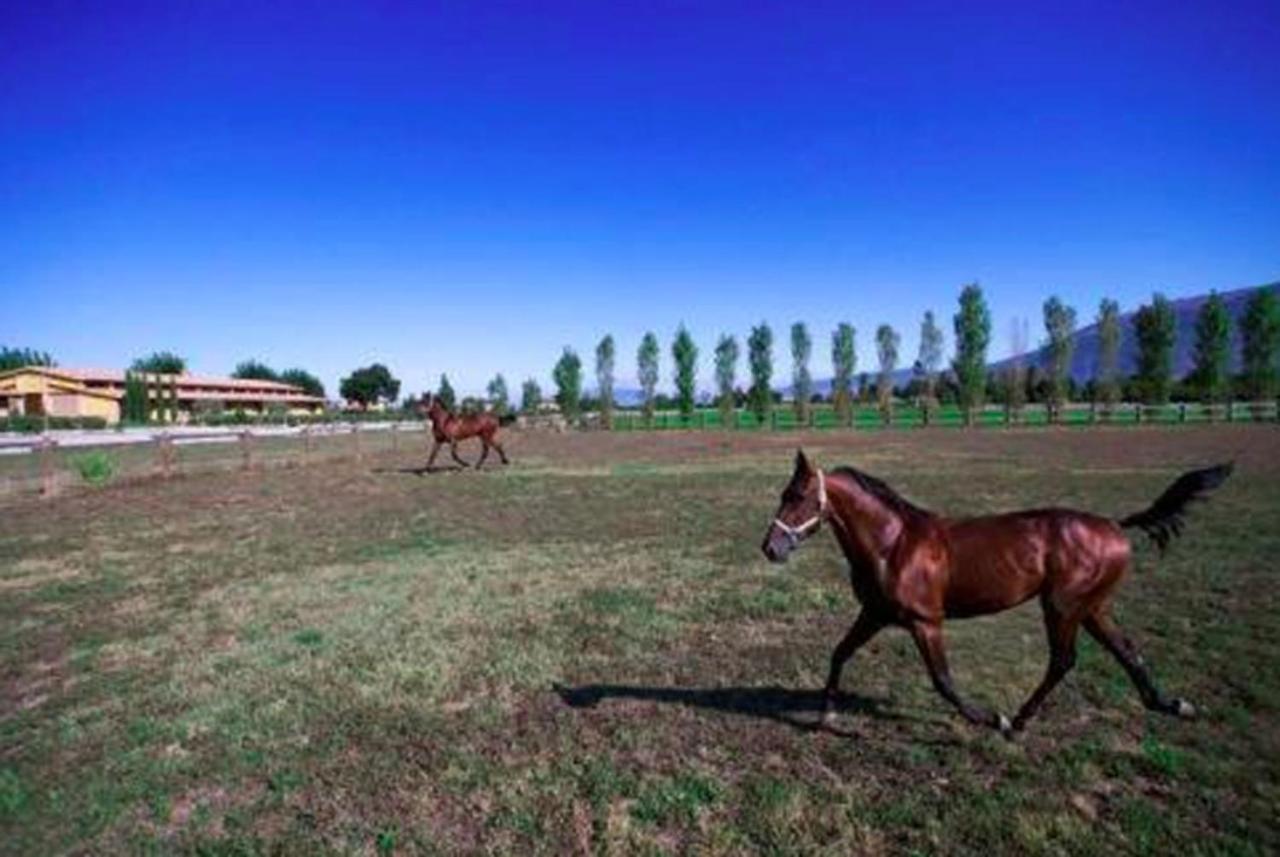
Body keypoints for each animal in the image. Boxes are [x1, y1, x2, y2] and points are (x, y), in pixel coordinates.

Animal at [762, 450, 1233, 736]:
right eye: (784, 493)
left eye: (798, 496)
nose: (771, 548)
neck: (893, 544)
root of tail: (1116, 526)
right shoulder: (875, 614)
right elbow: (839, 652)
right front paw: (825, 714)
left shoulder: (925, 621)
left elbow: (944, 681)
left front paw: (992, 718)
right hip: (1094, 607)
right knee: (1126, 651)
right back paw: (1170, 704)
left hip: (1062, 606)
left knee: (1064, 660)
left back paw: (1019, 721)